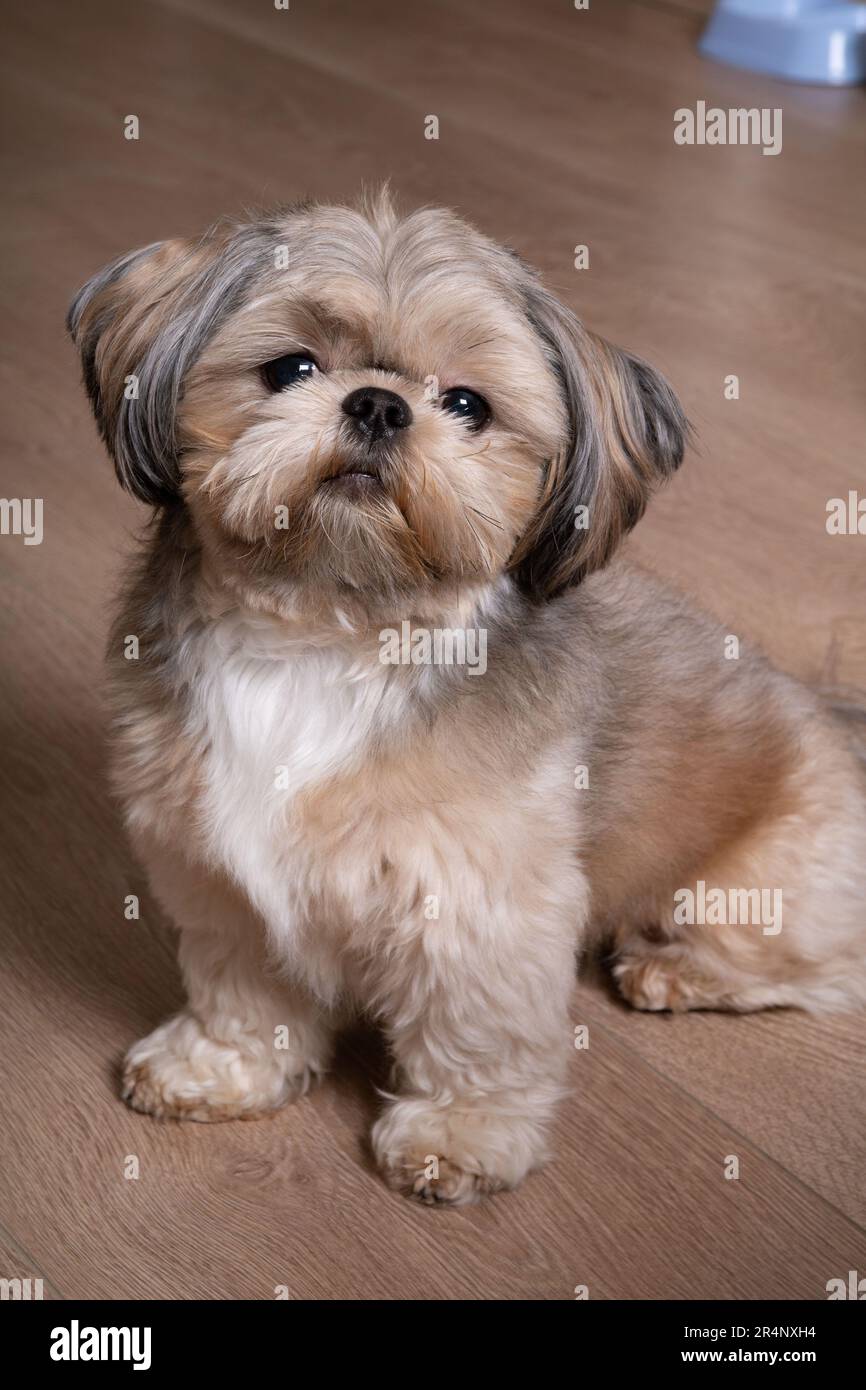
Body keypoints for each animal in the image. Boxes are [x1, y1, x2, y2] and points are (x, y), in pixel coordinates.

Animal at [69, 187, 866, 1206]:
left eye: (465, 404)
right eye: (290, 368)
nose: (378, 403)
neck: (330, 630)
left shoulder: (476, 900)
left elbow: (473, 1029)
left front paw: (461, 1134)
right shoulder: (221, 876)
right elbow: (242, 989)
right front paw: (220, 1067)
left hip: (750, 894)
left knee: (813, 966)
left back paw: (670, 972)